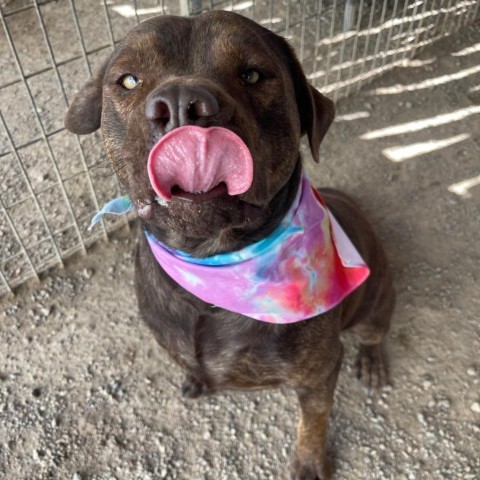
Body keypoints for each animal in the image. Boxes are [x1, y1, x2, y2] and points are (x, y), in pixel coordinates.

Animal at [63, 11, 394, 480]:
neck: (213, 264)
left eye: (252, 74)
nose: (181, 101)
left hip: (375, 305)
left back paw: (372, 360)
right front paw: (195, 379)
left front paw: (310, 462)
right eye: (128, 80)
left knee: (373, 332)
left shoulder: (319, 373)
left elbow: (313, 421)